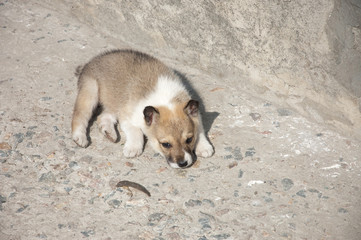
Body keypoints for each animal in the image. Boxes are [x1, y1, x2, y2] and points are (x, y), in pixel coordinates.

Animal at [71, 49, 212, 168]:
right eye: (166, 144)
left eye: (189, 139)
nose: (183, 164)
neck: (165, 101)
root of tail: (89, 62)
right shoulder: (127, 118)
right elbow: (136, 131)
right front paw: (133, 148)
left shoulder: (196, 116)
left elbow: (200, 130)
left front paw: (204, 147)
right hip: (90, 92)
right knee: (79, 116)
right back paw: (80, 138)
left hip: (114, 102)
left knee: (103, 116)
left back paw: (109, 132)